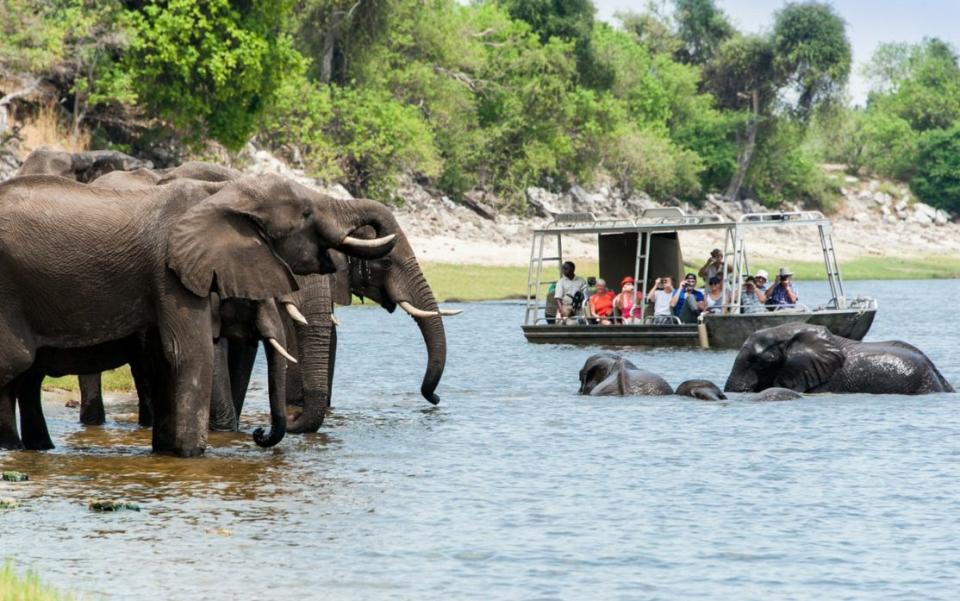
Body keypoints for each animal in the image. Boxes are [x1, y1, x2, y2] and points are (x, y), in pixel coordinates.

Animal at [0, 171, 398, 452]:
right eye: (305, 212)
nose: (258, 434)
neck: (221, 194)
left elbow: (164, 360)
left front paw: (166, 452)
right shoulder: (170, 273)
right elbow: (190, 353)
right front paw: (192, 456)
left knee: (25, 380)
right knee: (15, 366)